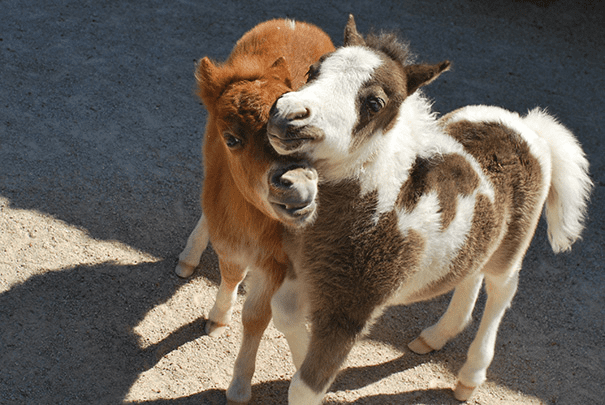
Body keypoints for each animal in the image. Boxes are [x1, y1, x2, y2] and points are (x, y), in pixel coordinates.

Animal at [175, 19, 336, 404]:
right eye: (231, 138)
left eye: (301, 134)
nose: (296, 182)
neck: (252, 224)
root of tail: (295, 23)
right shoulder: (231, 243)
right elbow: (231, 275)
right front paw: (218, 319)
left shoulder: (279, 260)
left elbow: (256, 317)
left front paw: (238, 385)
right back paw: (188, 257)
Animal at [266, 15, 588, 400]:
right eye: (312, 71)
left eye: (375, 103)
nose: (286, 115)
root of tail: (528, 126)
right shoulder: (301, 267)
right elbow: (283, 313)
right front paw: (311, 364)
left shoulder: (352, 308)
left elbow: (305, 387)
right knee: (471, 273)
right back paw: (435, 337)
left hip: (512, 248)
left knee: (501, 290)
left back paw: (470, 376)